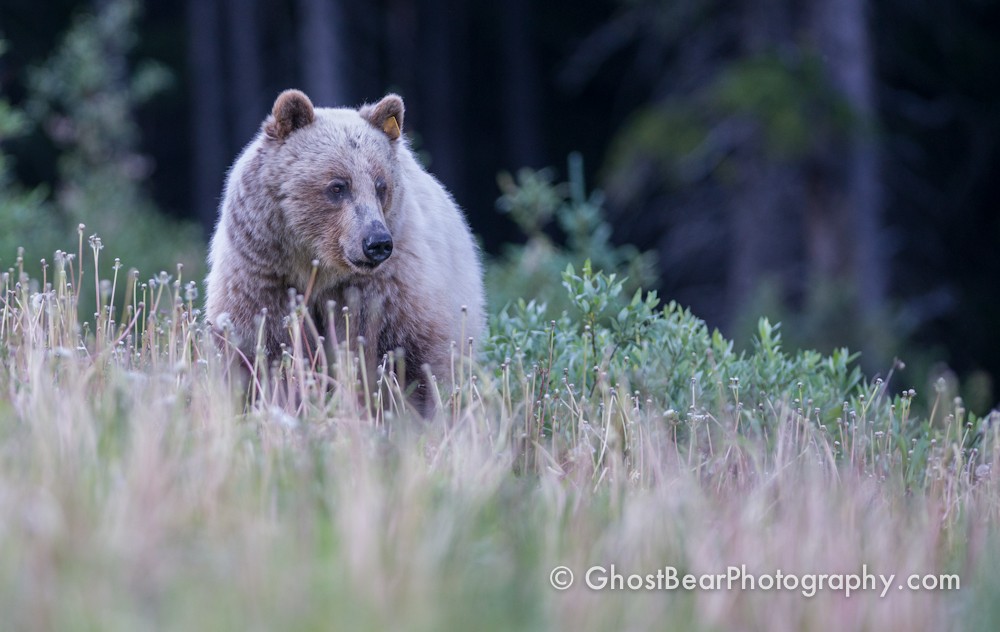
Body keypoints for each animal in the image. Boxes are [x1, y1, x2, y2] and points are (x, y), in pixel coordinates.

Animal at [206, 89, 484, 414]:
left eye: (381, 185)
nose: (377, 242)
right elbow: (258, 350)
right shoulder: (263, 276)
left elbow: (404, 358)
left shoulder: (383, 290)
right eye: (338, 186)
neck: (316, 265)